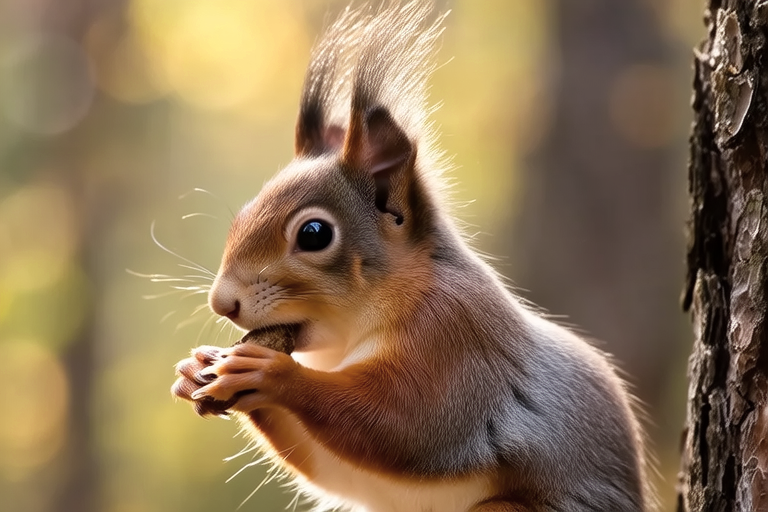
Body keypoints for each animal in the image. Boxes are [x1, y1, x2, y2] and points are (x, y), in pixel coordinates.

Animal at [171, 2, 652, 511]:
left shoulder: (455, 341)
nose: (222, 303)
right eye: (243, 212)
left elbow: (406, 427)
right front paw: (195, 369)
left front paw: (271, 374)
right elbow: (337, 469)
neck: (356, 330)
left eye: (314, 233)